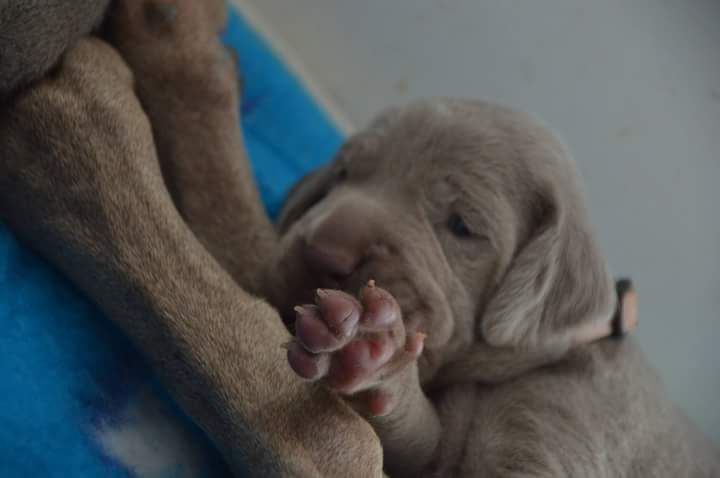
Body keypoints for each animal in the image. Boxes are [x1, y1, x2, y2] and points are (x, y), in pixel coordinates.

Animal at [272, 99, 720, 476]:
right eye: (343, 174)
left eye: (461, 226)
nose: (322, 253)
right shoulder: (433, 455)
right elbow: (417, 440)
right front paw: (366, 354)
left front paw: (369, 346)